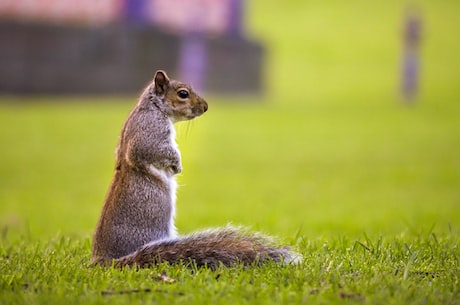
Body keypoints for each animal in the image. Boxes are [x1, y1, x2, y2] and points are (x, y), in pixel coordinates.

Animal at [90, 70, 300, 268]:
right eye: (183, 93)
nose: (205, 107)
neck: (154, 107)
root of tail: (108, 260)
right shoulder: (150, 131)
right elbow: (155, 150)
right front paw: (177, 165)